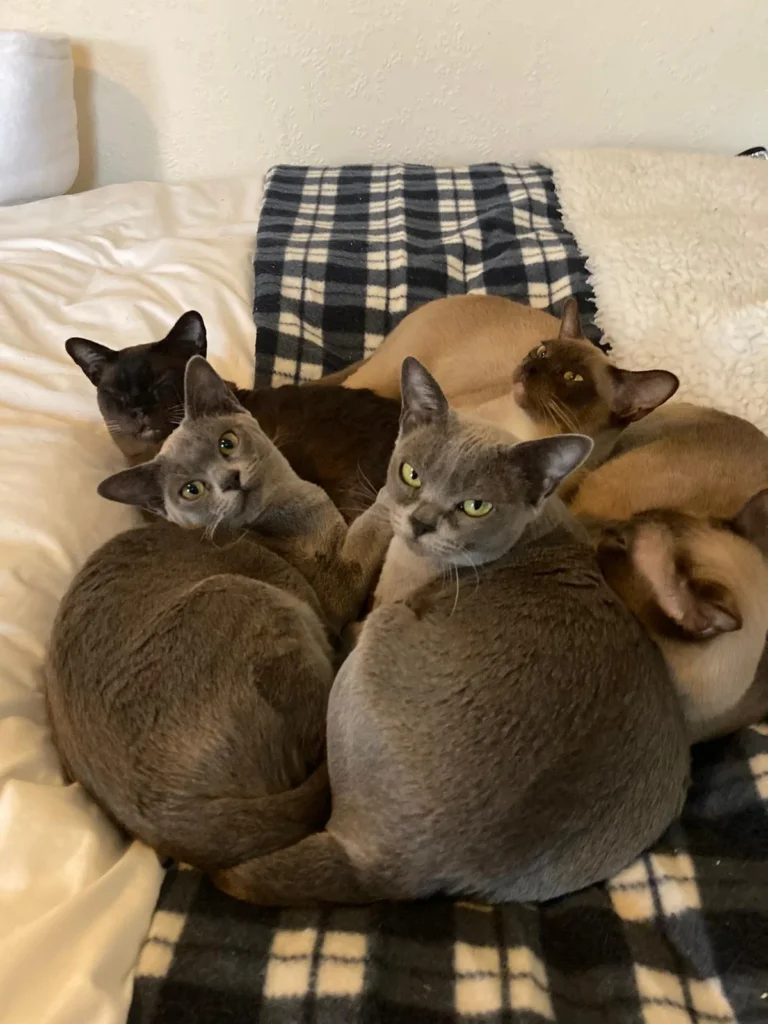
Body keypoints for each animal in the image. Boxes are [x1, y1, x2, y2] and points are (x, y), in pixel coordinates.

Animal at [44, 356, 391, 868]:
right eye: (191, 490)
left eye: (227, 442)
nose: (229, 480)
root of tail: (169, 826)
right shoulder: (336, 578)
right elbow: (370, 525)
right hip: (250, 599)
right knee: (321, 726)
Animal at [210, 358, 692, 905]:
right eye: (412, 474)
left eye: (475, 506)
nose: (421, 522)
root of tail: (390, 869)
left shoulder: (387, 596)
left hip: (381, 633)